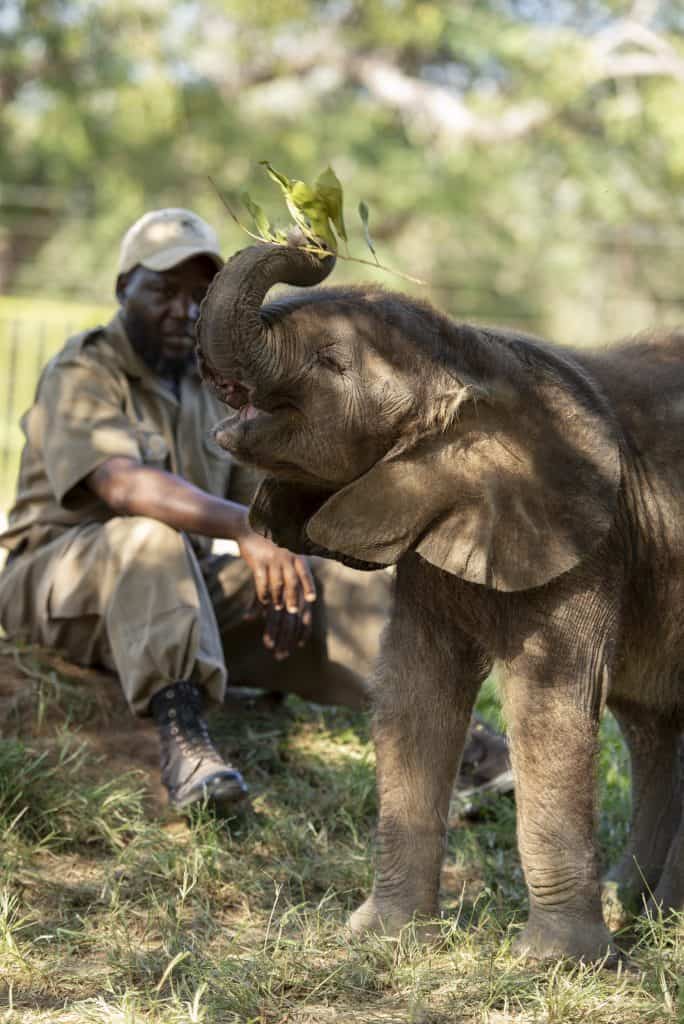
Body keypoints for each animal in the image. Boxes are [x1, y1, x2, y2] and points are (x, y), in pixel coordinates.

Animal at [196, 237, 684, 962]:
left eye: (333, 363)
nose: (315, 245)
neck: (476, 356)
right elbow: (415, 693)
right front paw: (383, 936)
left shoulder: (589, 540)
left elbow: (548, 705)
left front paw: (554, 963)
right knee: (655, 729)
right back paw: (646, 913)